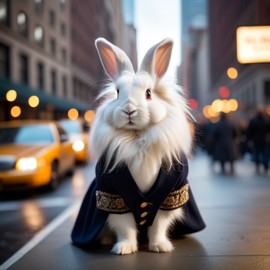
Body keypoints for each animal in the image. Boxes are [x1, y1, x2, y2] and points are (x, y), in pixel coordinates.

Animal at [70, 37, 206, 255]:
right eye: (117, 93)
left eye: (149, 93)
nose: (129, 110)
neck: (136, 137)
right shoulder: (115, 196)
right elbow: (124, 226)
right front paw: (124, 248)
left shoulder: (167, 196)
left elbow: (158, 225)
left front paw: (160, 247)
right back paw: (106, 240)